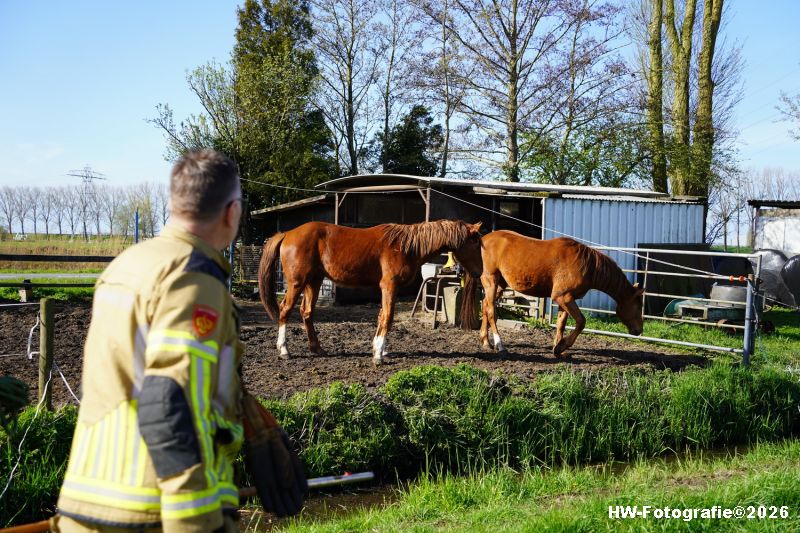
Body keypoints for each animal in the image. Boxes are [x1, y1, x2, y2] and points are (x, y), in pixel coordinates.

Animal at [258, 219, 484, 365]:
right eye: (475, 244)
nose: (479, 272)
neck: (405, 246)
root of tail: (287, 234)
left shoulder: (389, 289)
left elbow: (382, 316)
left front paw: (378, 349)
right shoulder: (389, 286)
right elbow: (388, 317)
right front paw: (378, 355)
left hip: (314, 281)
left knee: (307, 313)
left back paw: (317, 349)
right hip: (297, 283)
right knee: (285, 310)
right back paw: (284, 350)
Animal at [461, 230, 644, 356]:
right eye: (638, 306)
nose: (639, 330)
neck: (587, 264)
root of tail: (484, 239)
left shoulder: (566, 299)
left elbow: (561, 324)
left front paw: (558, 347)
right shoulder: (563, 297)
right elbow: (581, 321)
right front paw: (563, 345)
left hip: (499, 285)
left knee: (485, 306)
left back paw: (486, 341)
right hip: (491, 281)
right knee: (491, 310)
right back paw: (500, 345)